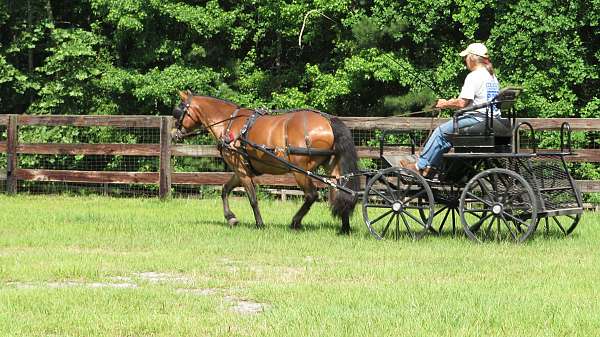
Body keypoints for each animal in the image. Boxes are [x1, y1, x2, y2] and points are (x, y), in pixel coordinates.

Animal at [172, 90, 360, 232]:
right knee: (341, 191)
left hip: (299, 170)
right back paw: (344, 227)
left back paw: (295, 222)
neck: (229, 124)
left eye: (178, 113)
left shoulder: (242, 171)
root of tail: (328, 121)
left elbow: (253, 199)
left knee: (311, 195)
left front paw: (259, 224)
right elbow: (225, 190)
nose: (174, 134)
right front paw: (231, 218)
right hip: (331, 167)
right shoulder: (240, 170)